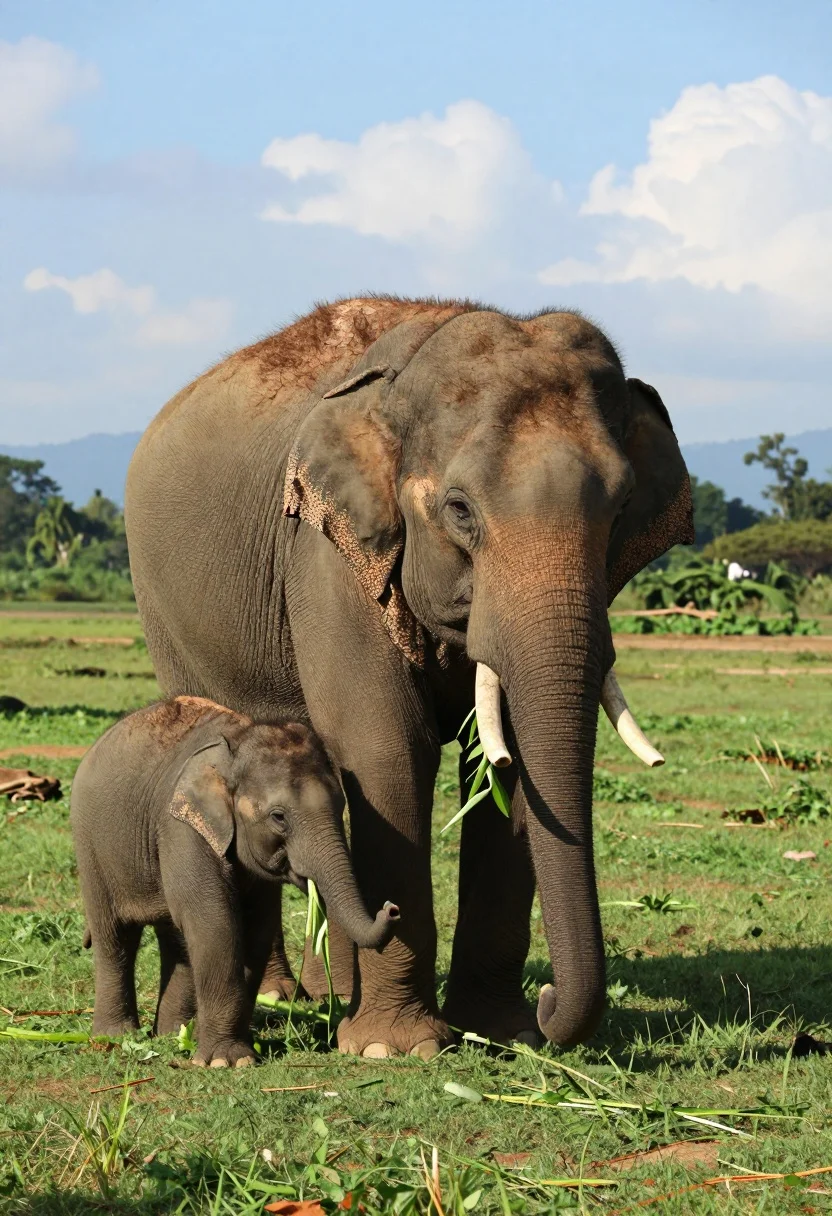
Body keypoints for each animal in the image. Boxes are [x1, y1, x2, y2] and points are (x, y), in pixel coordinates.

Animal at [71, 695, 399, 1066]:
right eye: (278, 817)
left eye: (341, 803)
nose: (392, 908)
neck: (239, 740)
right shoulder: (181, 828)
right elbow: (215, 922)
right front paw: (226, 1061)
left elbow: (256, 928)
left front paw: (227, 1050)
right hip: (91, 847)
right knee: (115, 936)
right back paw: (115, 1036)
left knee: (176, 941)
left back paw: (172, 1034)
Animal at [124, 297, 692, 1058]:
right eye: (459, 510)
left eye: (621, 508)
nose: (549, 1002)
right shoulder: (327, 553)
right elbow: (385, 750)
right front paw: (394, 1048)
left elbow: (508, 765)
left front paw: (503, 1032)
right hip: (165, 608)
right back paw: (285, 997)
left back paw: (328, 993)